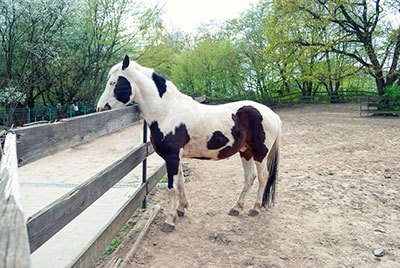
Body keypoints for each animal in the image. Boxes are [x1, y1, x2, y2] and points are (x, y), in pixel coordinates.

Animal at [97, 56, 282, 232]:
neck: (167, 111)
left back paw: (255, 208)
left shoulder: (171, 156)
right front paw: (181, 209)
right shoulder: (176, 157)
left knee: (262, 177)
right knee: (249, 177)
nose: (100, 108)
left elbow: (172, 187)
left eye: (113, 83)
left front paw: (169, 221)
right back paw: (236, 208)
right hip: (245, 151)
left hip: (260, 153)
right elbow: (180, 183)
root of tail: (271, 114)